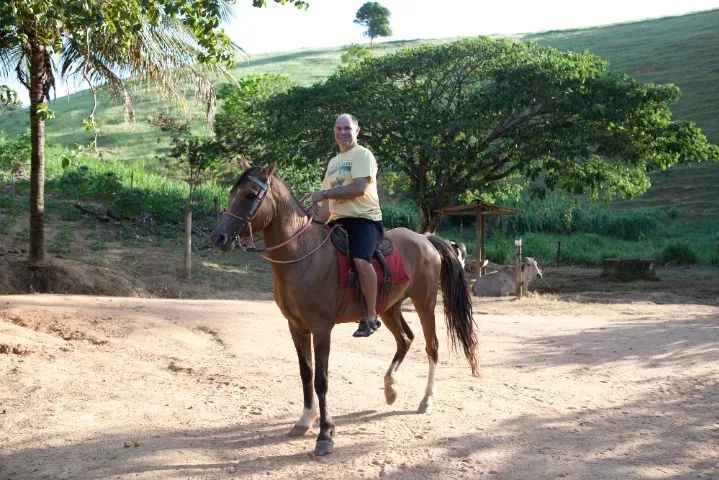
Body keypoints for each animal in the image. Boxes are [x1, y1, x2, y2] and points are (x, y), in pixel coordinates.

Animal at [210, 163, 478, 456]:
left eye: (250, 194)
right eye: (232, 192)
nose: (218, 237)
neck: (302, 256)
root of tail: (426, 239)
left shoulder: (321, 328)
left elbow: (321, 379)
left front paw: (325, 435)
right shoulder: (296, 327)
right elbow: (305, 374)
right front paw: (304, 421)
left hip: (424, 303)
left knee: (432, 346)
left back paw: (426, 400)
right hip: (389, 308)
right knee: (405, 339)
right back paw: (390, 389)